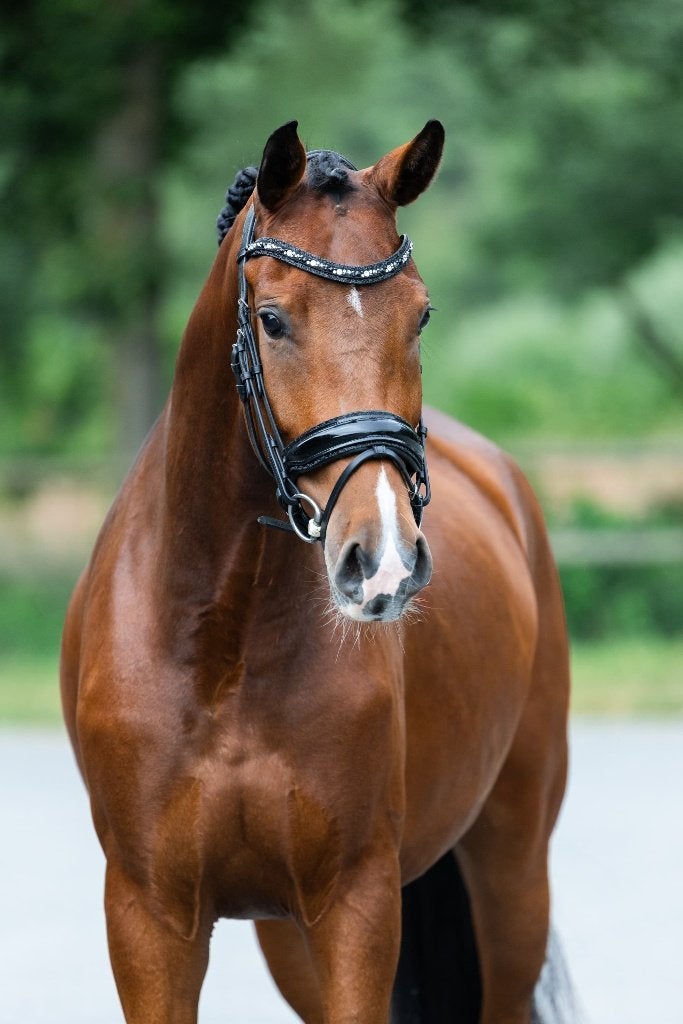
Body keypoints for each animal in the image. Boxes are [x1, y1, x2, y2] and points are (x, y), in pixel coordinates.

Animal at [60, 120, 572, 1024]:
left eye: (420, 314)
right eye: (271, 320)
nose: (384, 560)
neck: (223, 648)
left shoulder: (354, 906)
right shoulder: (150, 916)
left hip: (511, 868)